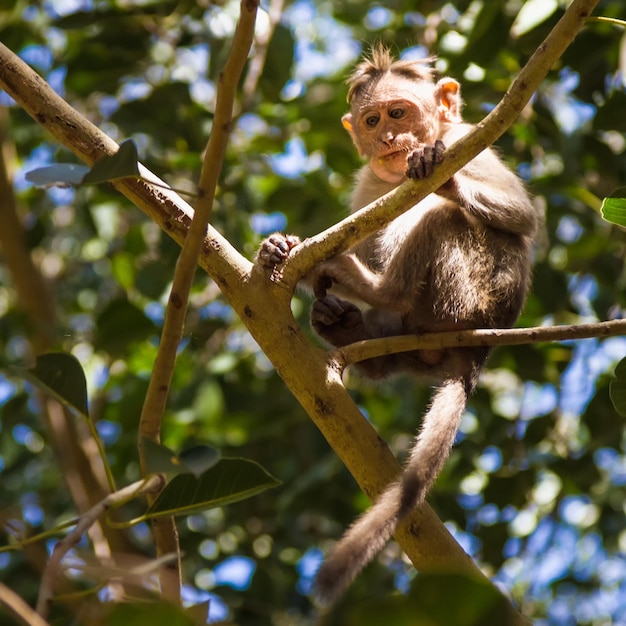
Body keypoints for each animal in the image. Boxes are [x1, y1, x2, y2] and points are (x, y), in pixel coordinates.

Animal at [255, 46, 536, 604]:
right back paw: (345, 327)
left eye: (400, 113)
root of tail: (478, 349)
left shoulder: (466, 142)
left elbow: (522, 218)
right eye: (372, 120)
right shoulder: (368, 183)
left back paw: (374, 289)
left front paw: (438, 173)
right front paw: (283, 249)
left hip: (472, 292)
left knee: (443, 221)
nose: (390, 139)